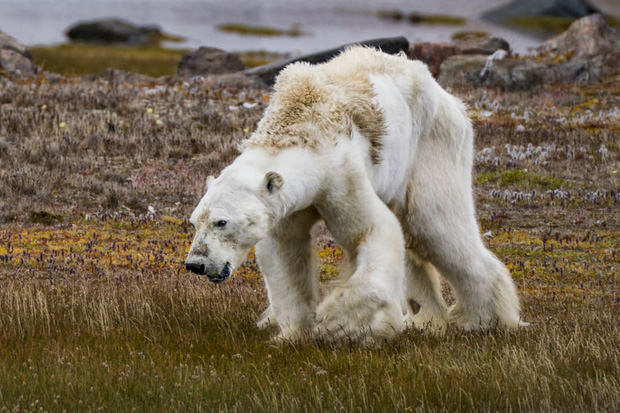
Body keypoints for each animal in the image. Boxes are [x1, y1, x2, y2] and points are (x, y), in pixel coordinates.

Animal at [185, 46, 524, 340]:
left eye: (221, 222)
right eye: (194, 222)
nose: (195, 264)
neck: (300, 126)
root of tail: (450, 99)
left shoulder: (340, 174)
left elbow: (372, 230)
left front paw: (338, 321)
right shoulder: (286, 204)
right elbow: (284, 251)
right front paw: (293, 333)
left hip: (431, 146)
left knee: (436, 226)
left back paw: (482, 319)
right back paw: (424, 319)